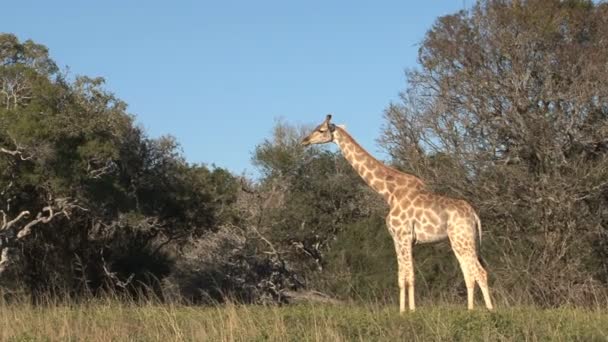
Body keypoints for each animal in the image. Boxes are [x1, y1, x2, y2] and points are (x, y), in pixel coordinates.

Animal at [300, 115, 494, 312]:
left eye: (321, 130)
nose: (304, 141)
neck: (388, 193)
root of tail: (475, 216)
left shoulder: (404, 235)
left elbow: (410, 276)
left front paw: (412, 311)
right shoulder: (397, 238)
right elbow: (401, 277)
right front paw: (402, 311)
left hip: (462, 239)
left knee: (480, 272)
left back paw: (490, 310)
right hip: (460, 241)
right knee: (469, 273)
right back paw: (470, 309)